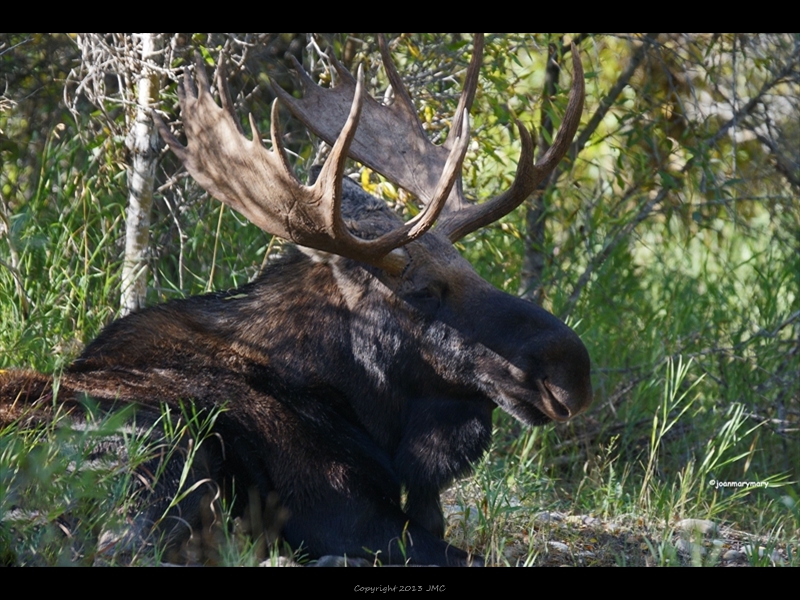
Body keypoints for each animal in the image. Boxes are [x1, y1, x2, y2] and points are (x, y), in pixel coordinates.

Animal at [0, 35, 588, 564]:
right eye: (422, 291)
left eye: (472, 268)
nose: (570, 367)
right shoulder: (342, 509)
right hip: (161, 446)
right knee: (126, 548)